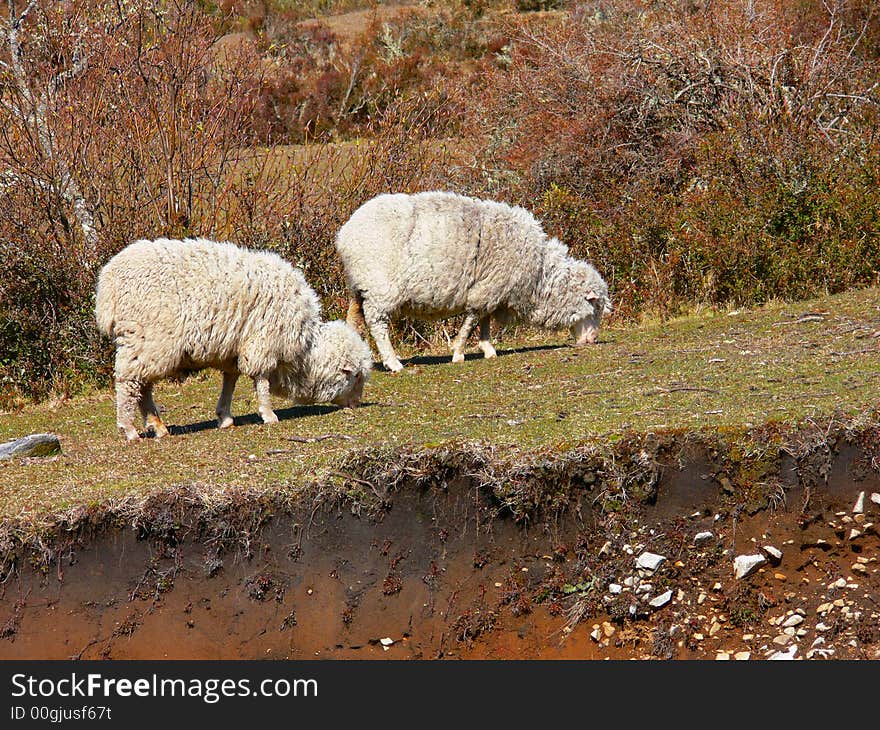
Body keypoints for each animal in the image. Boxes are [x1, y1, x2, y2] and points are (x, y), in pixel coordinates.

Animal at [96, 236, 372, 438]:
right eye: (356, 377)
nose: (356, 405)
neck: (305, 349)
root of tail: (108, 282)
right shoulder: (263, 341)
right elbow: (261, 380)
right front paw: (268, 415)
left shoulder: (233, 348)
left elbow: (230, 380)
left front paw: (225, 417)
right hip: (147, 339)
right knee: (128, 383)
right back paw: (129, 429)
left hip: (145, 345)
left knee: (143, 386)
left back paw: (158, 426)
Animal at [336, 189, 612, 370]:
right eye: (595, 306)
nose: (592, 341)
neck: (538, 275)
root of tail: (345, 234)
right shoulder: (487, 290)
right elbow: (471, 321)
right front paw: (458, 352)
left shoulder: (492, 290)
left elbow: (484, 321)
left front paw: (487, 348)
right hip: (381, 288)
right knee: (377, 324)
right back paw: (393, 362)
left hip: (360, 286)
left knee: (354, 318)